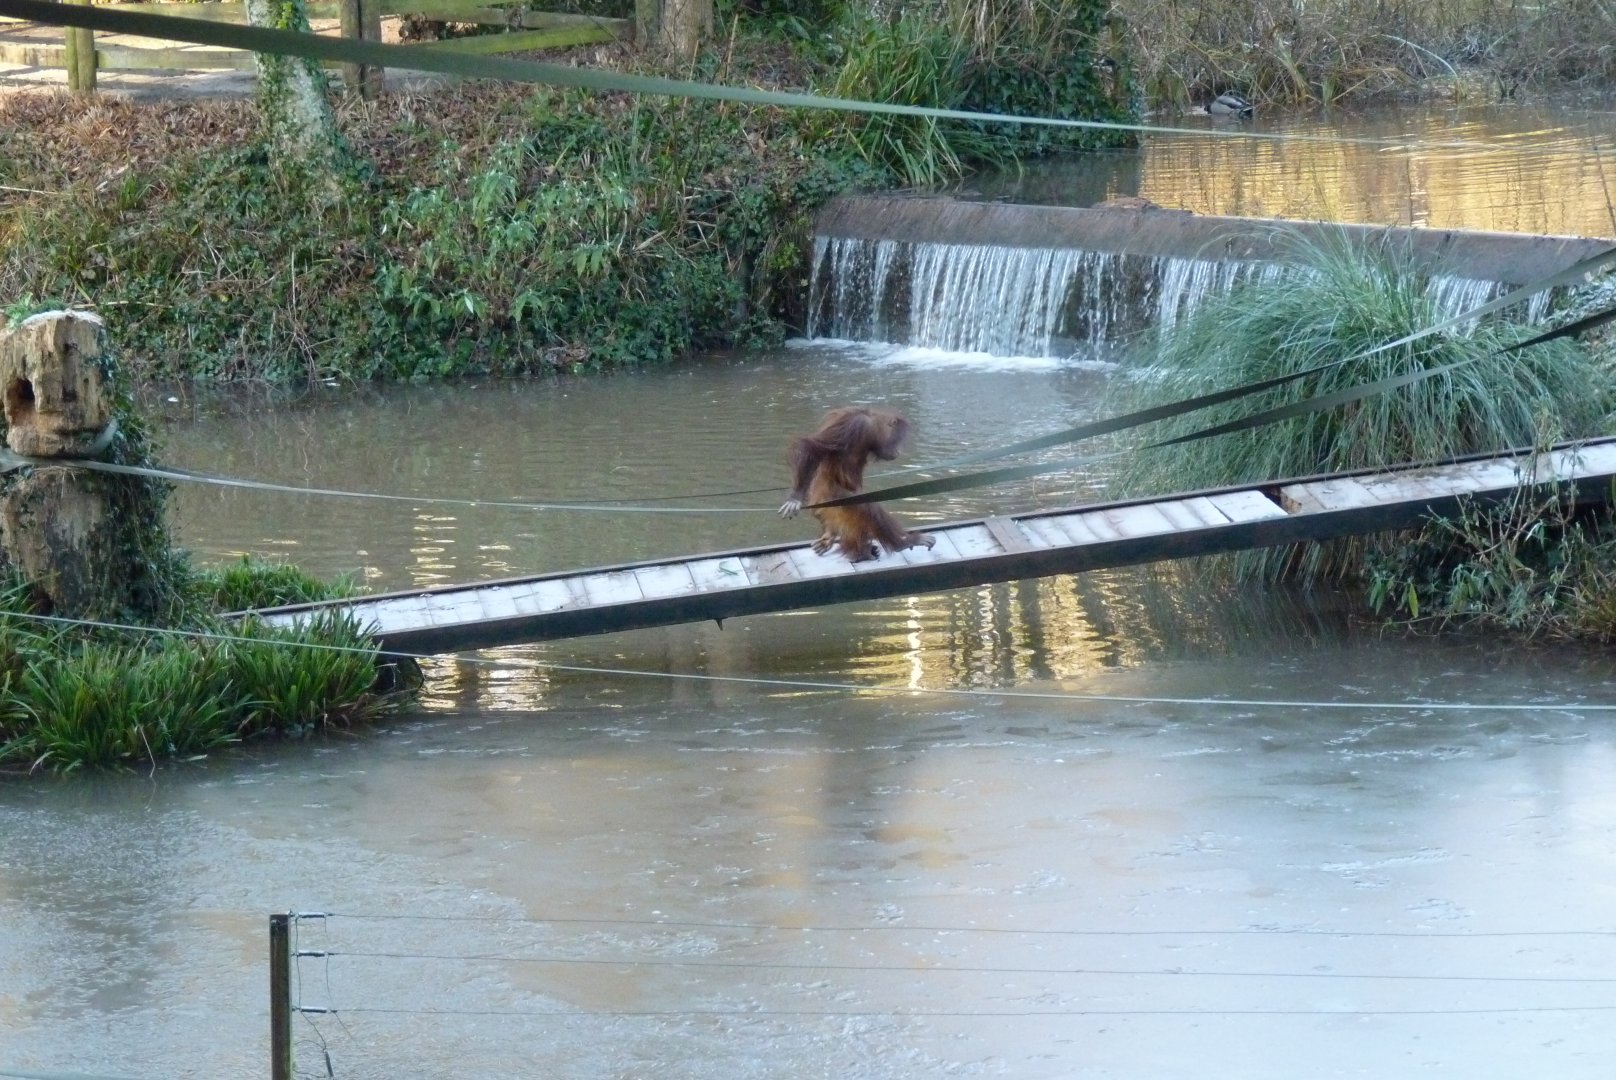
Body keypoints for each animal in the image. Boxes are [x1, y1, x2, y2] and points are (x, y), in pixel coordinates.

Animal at [779, 406, 936, 564]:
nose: (899, 451)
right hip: (832, 498)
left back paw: (846, 544)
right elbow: (812, 446)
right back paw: (901, 543)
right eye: (897, 440)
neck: (872, 427)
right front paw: (796, 497)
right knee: (868, 506)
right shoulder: (854, 424)